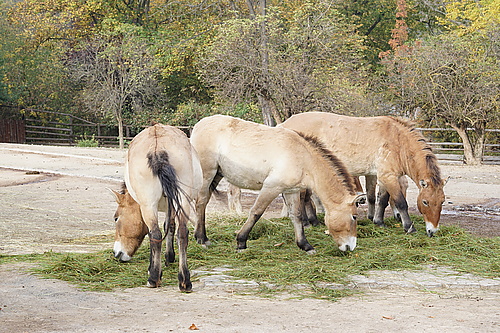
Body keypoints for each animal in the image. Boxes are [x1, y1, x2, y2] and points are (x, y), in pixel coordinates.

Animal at [110, 123, 202, 290]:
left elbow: (154, 232)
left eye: (116, 218)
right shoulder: (171, 204)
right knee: (182, 233)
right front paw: (169, 257)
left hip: (149, 205)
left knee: (155, 235)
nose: (117, 253)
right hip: (182, 200)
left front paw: (153, 268)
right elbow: (170, 226)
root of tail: (157, 150)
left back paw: (153, 278)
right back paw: (184, 281)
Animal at [191, 114, 364, 252]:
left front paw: (305, 245)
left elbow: (296, 215)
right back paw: (201, 239)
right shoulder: (271, 187)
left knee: (204, 202)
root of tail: (198, 126)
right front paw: (241, 241)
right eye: (354, 217)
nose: (350, 247)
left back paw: (202, 237)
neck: (302, 157)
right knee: (200, 202)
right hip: (207, 174)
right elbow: (256, 212)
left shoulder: (291, 191)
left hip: (216, 175)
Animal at [282, 111, 446, 236]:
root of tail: (284, 124)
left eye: (442, 201)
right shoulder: (389, 177)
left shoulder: (383, 177)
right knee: (302, 198)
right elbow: (401, 202)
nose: (432, 231)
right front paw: (409, 227)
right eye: (425, 202)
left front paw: (378, 222)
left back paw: (313, 221)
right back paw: (306, 222)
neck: (399, 141)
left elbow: (382, 200)